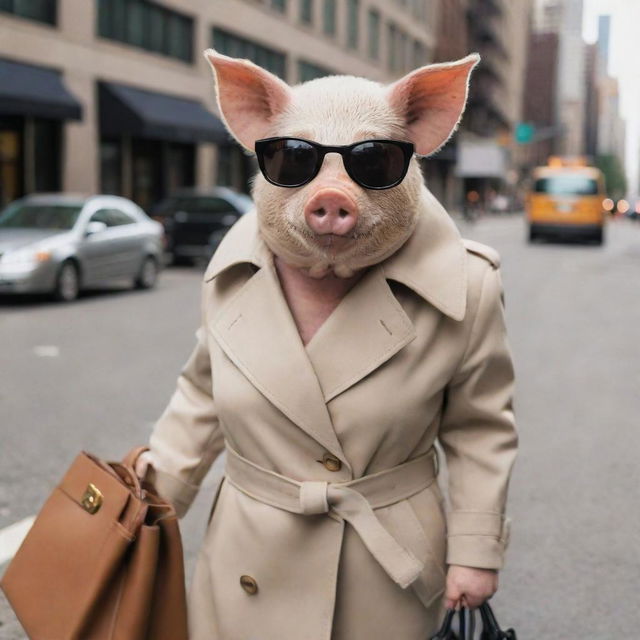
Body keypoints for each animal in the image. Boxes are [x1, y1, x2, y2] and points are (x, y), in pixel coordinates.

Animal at [138, 47, 516, 636]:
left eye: (374, 159)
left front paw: (469, 589)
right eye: (295, 156)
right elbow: (197, 392)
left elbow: (480, 429)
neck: (326, 277)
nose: (333, 196)